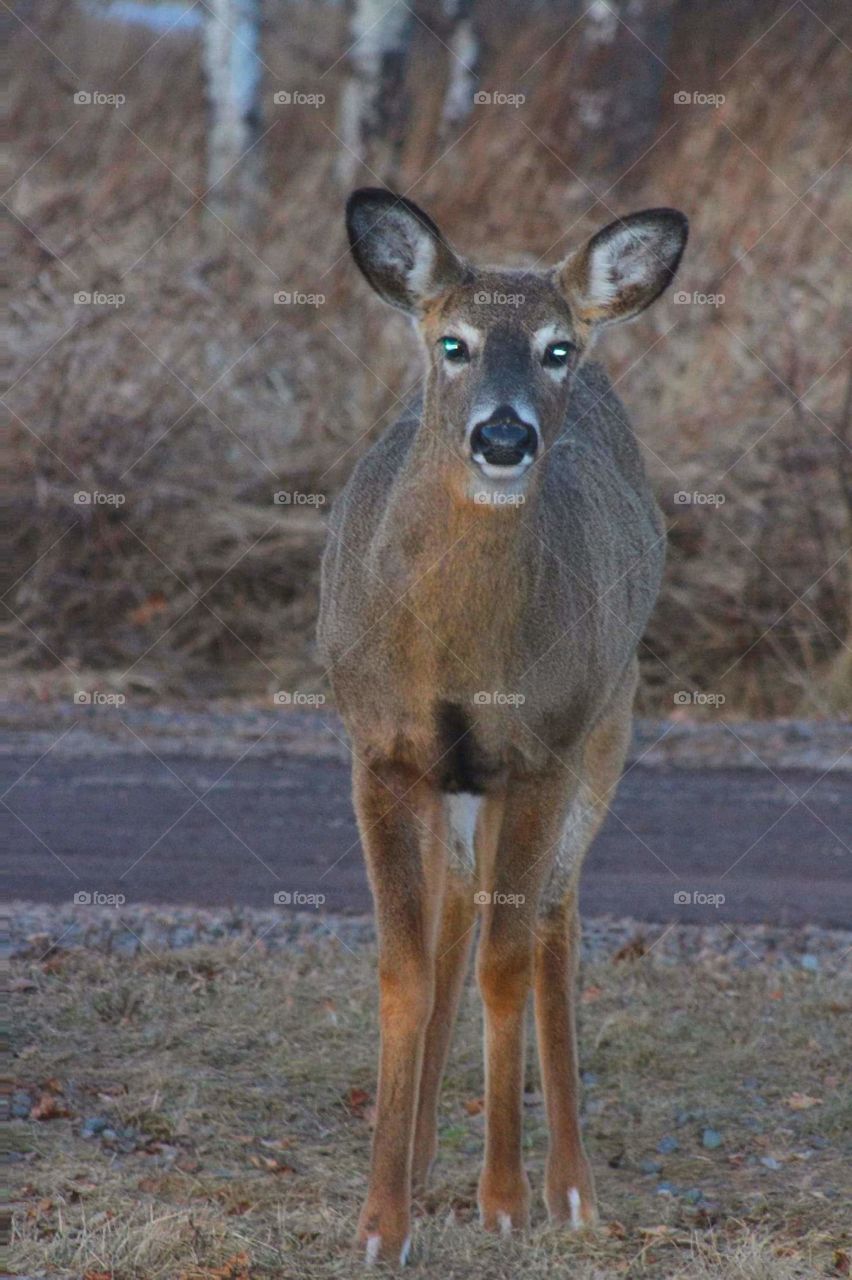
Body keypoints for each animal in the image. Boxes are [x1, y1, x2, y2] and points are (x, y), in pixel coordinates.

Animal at [314, 185, 685, 1264]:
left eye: (558, 348)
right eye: (454, 343)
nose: (506, 437)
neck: (462, 659)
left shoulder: (542, 752)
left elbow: (508, 962)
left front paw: (506, 1199)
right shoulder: (383, 751)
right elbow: (405, 964)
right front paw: (381, 1220)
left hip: (611, 716)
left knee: (552, 917)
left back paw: (570, 1186)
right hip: (465, 781)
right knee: (456, 910)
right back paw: (424, 1155)